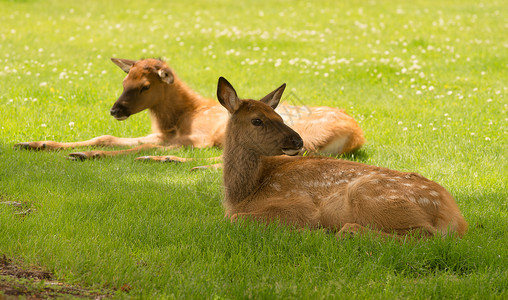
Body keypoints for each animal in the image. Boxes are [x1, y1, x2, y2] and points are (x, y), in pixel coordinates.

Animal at [218, 77, 464, 239]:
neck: (245, 193)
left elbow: (234, 218)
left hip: (369, 194)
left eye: (279, 116)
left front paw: (310, 230)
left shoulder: (300, 204)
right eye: (257, 120)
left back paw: (344, 231)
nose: (298, 140)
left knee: (426, 234)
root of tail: (455, 217)